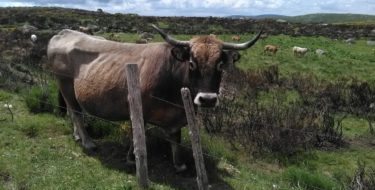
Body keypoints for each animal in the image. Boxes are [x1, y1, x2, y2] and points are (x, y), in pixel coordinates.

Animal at [47, 24, 262, 171]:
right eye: (192, 63)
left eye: (220, 65)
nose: (207, 99)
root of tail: (64, 33)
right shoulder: (137, 108)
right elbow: (139, 133)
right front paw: (132, 158)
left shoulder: (178, 115)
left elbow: (176, 139)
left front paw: (179, 164)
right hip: (64, 84)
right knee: (76, 113)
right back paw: (88, 142)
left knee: (74, 112)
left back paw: (77, 135)